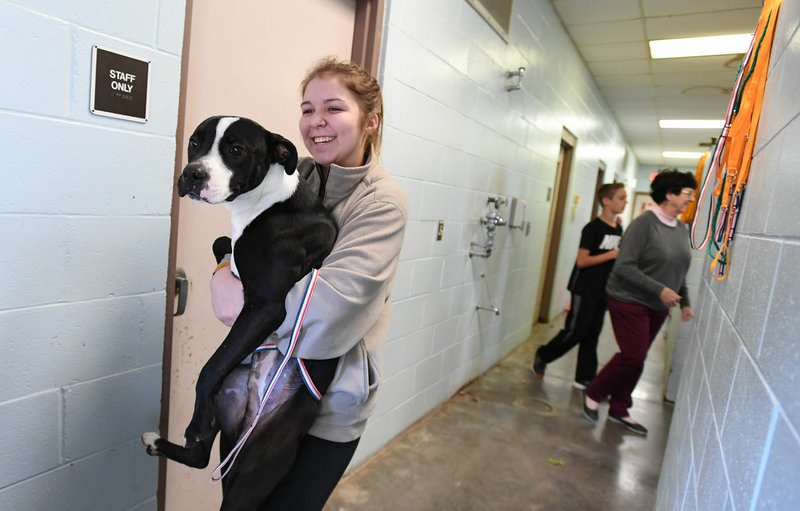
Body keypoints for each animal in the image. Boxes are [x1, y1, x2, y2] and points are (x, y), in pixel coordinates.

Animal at [144, 116, 338, 511]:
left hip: (254, 472)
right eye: (194, 143)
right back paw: (159, 441)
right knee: (199, 457)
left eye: (236, 150)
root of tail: (250, 418)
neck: (265, 201)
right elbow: (221, 242)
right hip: (227, 414)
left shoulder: (265, 307)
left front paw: (195, 421)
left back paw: (191, 429)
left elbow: (208, 368)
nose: (192, 174)